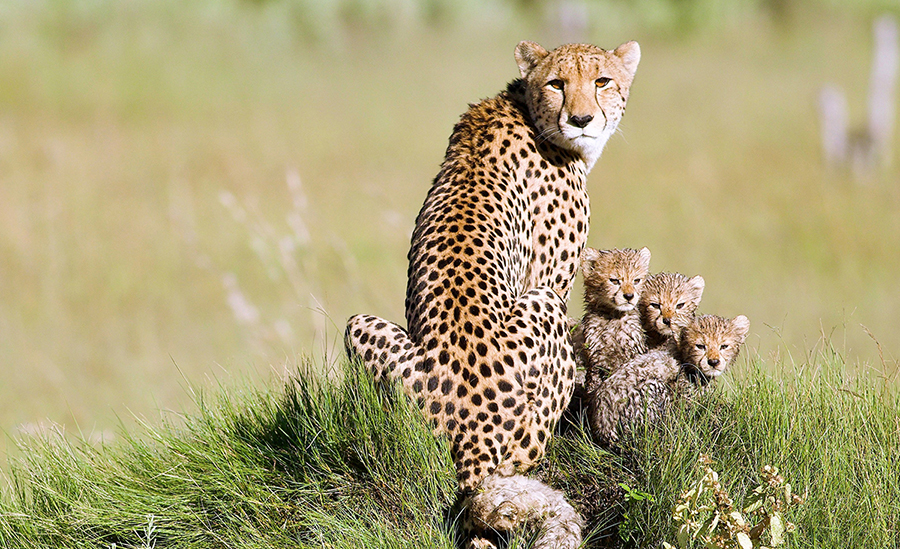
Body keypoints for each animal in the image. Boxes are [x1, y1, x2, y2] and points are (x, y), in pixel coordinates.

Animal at [344, 39, 640, 548]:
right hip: (543, 309)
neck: (526, 107)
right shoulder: (553, 281)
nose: (582, 119)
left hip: (358, 327)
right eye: (557, 83)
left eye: (602, 81)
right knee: (521, 457)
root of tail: (469, 440)